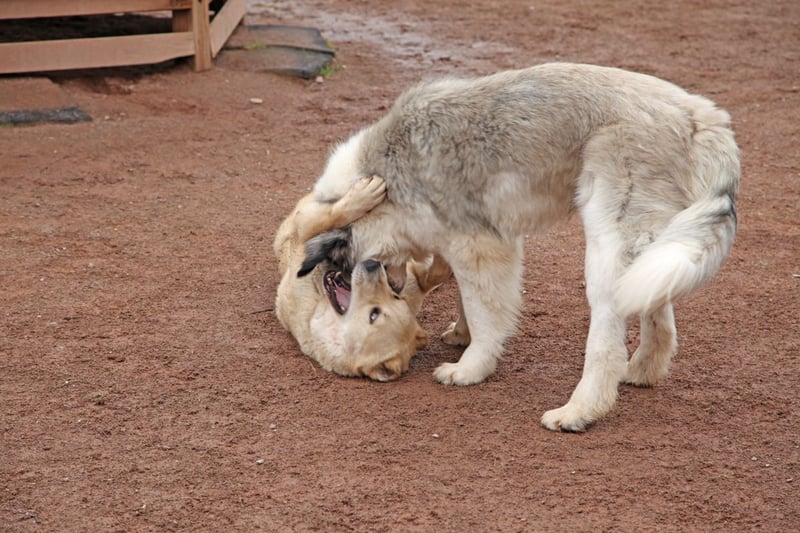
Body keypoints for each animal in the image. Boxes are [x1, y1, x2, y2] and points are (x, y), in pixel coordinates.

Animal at [274, 176, 451, 381]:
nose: (372, 264)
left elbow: (437, 271)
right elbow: (331, 217)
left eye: (374, 315)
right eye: (395, 298)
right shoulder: (304, 228)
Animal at [299, 63, 740, 431]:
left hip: (607, 246)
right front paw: (461, 334)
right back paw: (643, 371)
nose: (379, 279)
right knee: (657, 310)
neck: (387, 175)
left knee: (606, 339)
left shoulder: (479, 246)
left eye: (342, 268)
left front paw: (470, 368)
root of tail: (701, 118)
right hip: (650, 251)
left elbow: (483, 312)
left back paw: (578, 412)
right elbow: (465, 300)